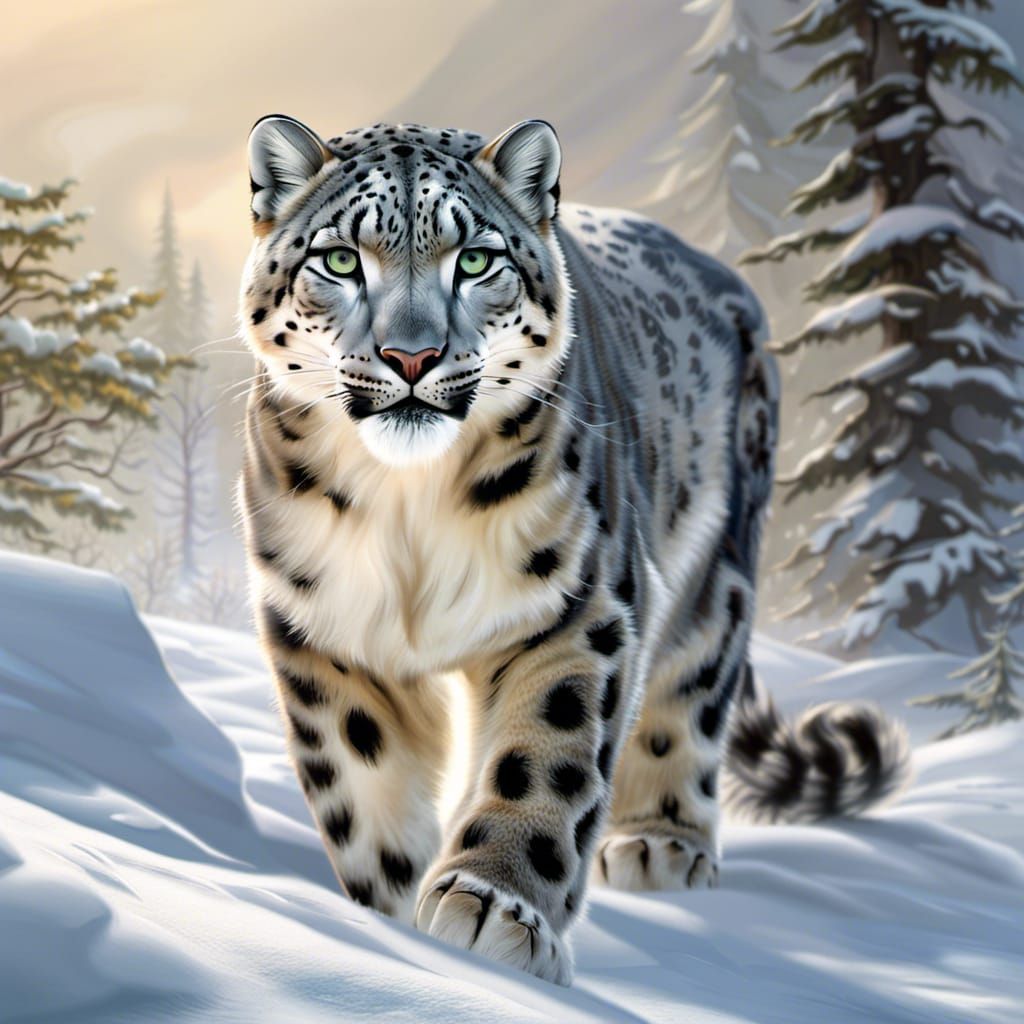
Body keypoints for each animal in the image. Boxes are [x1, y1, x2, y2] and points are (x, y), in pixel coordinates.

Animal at [237, 115, 910, 986]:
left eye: (476, 259)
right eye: (341, 259)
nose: (411, 357)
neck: (408, 509)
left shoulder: (580, 605)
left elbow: (545, 756)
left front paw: (493, 912)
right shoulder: (326, 628)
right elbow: (361, 783)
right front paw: (392, 917)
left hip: (715, 574)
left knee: (693, 687)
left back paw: (661, 845)